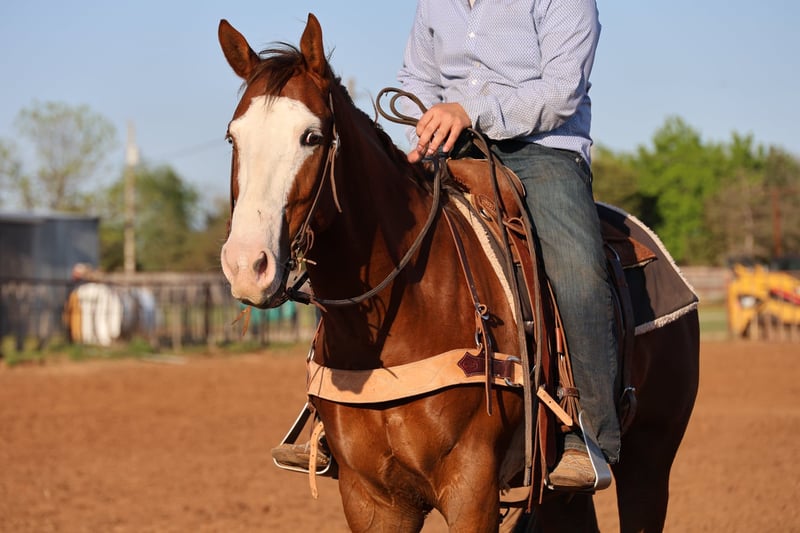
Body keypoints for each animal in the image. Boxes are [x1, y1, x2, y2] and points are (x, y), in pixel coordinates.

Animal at [217, 14, 700, 532]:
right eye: (233, 138)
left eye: (311, 136)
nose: (247, 264)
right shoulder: (371, 498)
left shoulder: (472, 490)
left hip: (651, 460)